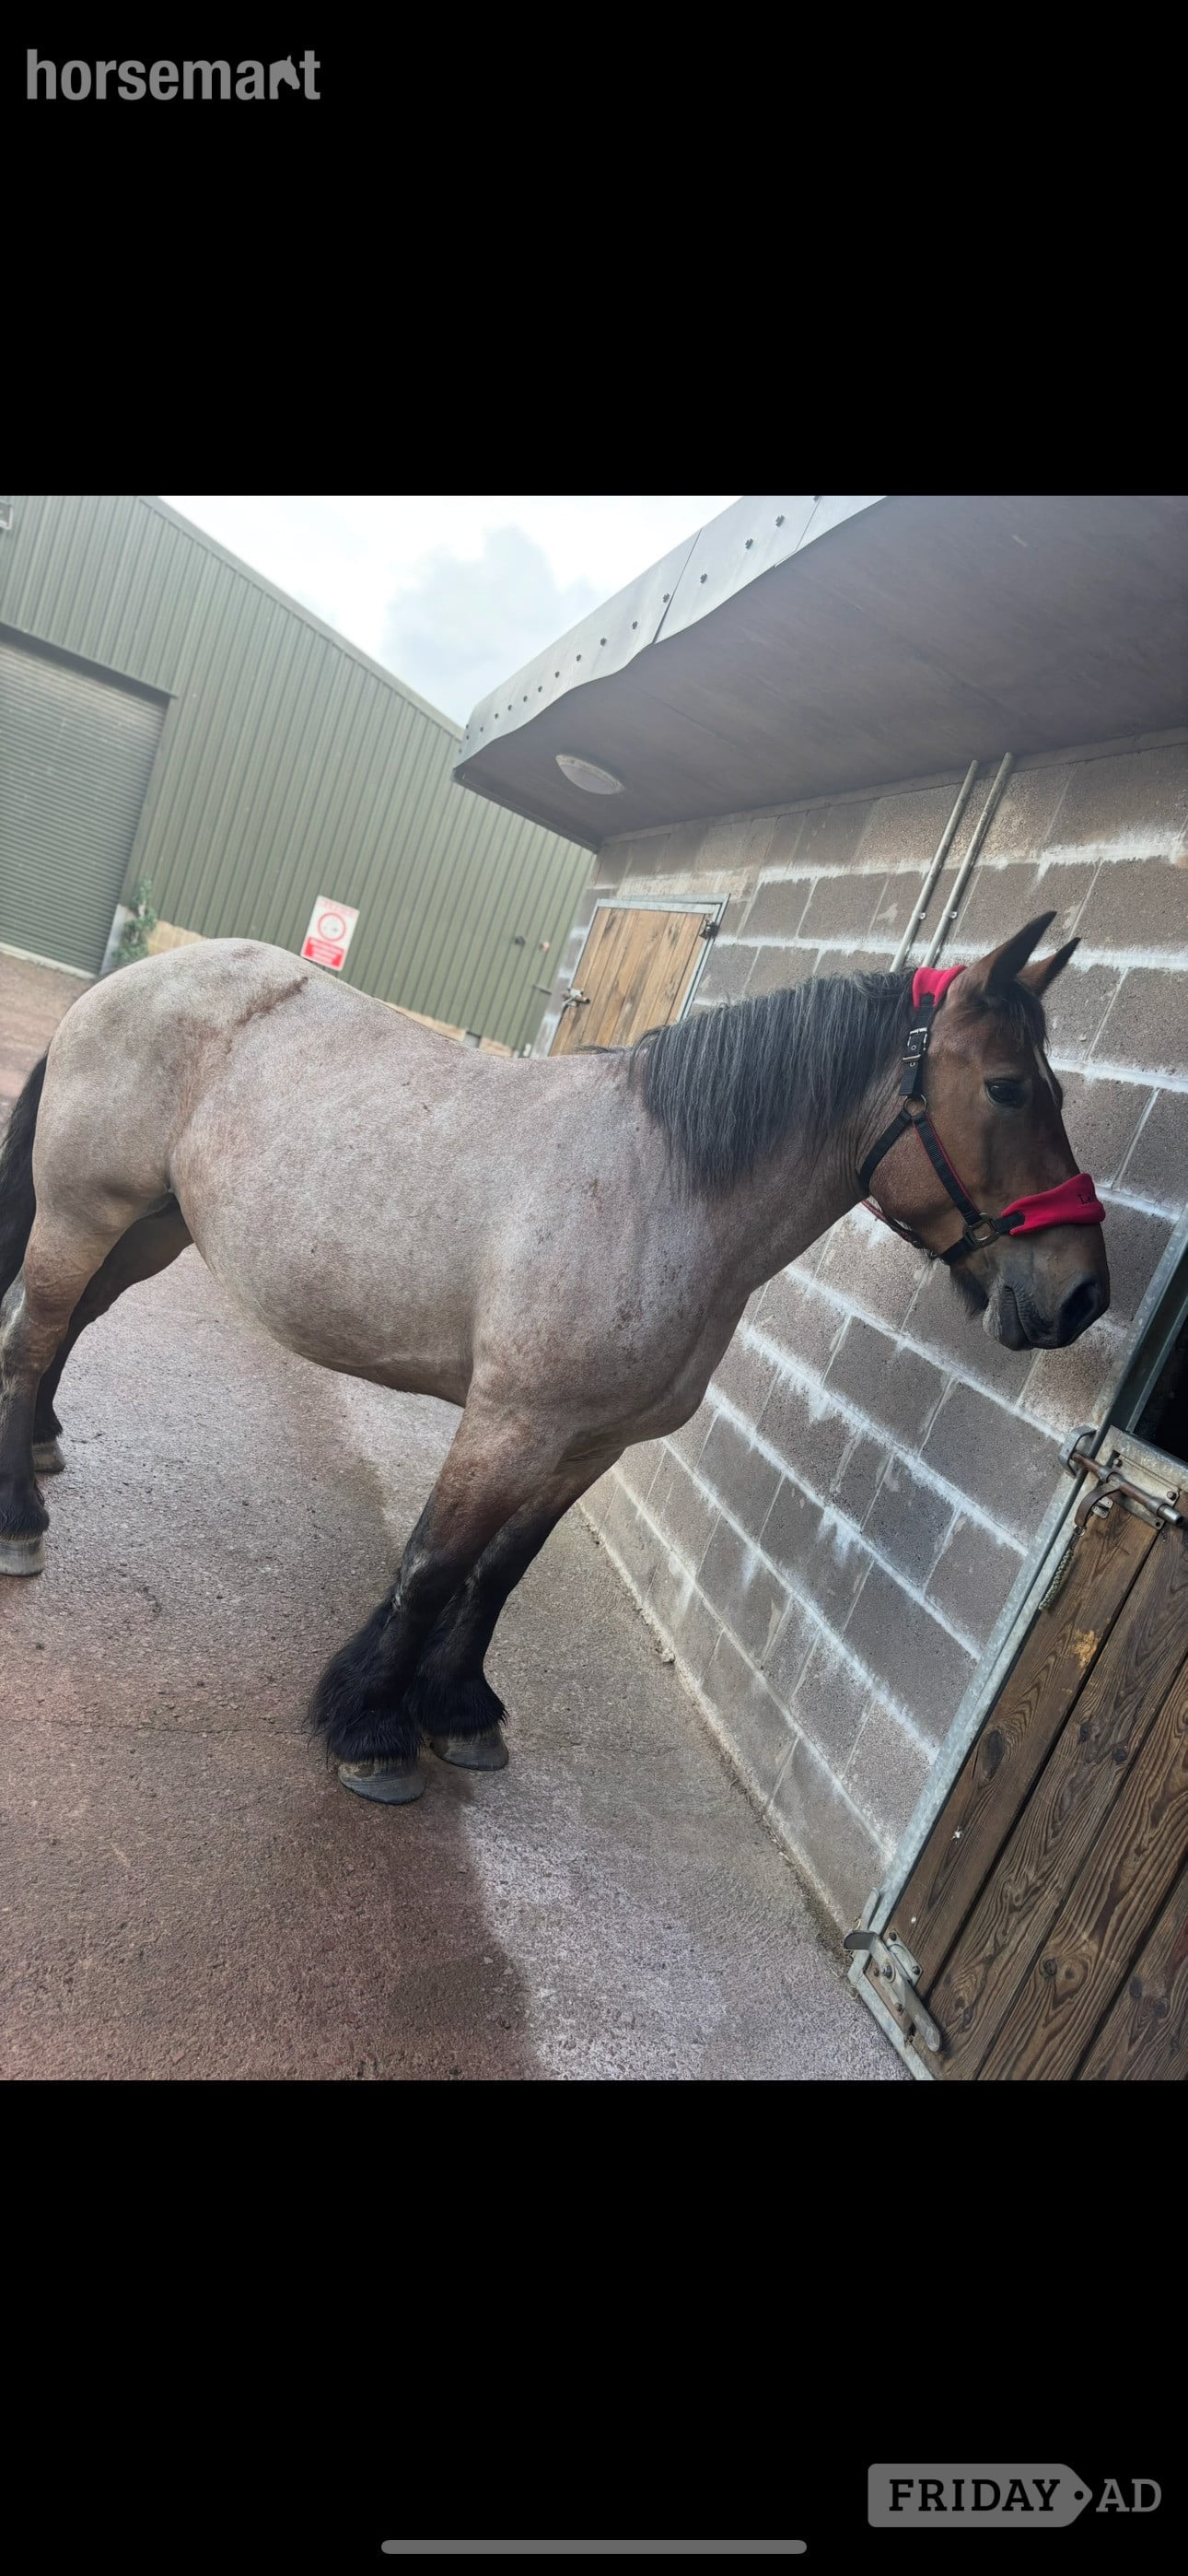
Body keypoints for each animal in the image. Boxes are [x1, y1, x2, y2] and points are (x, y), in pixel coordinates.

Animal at [0, 912, 1109, 1805]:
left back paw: (45, 1447)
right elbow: (434, 1567)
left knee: (73, 1328)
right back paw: (21, 1521)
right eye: (1008, 1088)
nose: (1081, 1293)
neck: (665, 1192)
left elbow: (501, 1573)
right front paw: (372, 1728)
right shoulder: (511, 1422)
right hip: (81, 1215)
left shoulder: (594, 1442)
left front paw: (459, 1711)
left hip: (153, 1227)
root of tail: (134, 978)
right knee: (31, 1340)